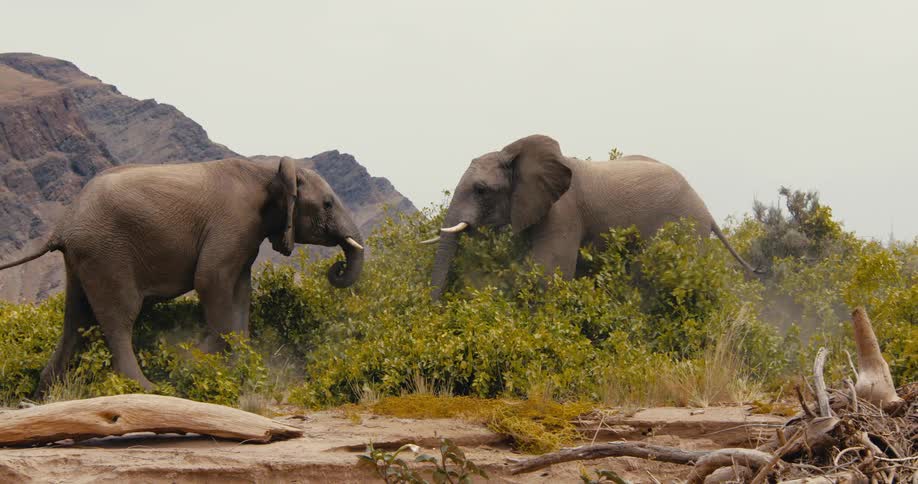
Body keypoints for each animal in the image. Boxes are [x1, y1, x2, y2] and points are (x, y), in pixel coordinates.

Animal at [0, 157, 364, 394]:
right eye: (328, 204)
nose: (336, 268)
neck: (268, 170)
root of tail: (62, 226)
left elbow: (240, 291)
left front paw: (240, 366)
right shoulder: (232, 223)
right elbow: (211, 279)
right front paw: (192, 360)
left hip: (81, 258)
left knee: (75, 319)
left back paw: (45, 394)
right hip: (106, 253)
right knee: (120, 317)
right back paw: (148, 389)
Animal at [423, 134, 759, 301]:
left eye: (481, 190)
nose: (436, 307)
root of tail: (707, 211)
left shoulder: (563, 212)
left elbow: (546, 272)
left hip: (683, 229)